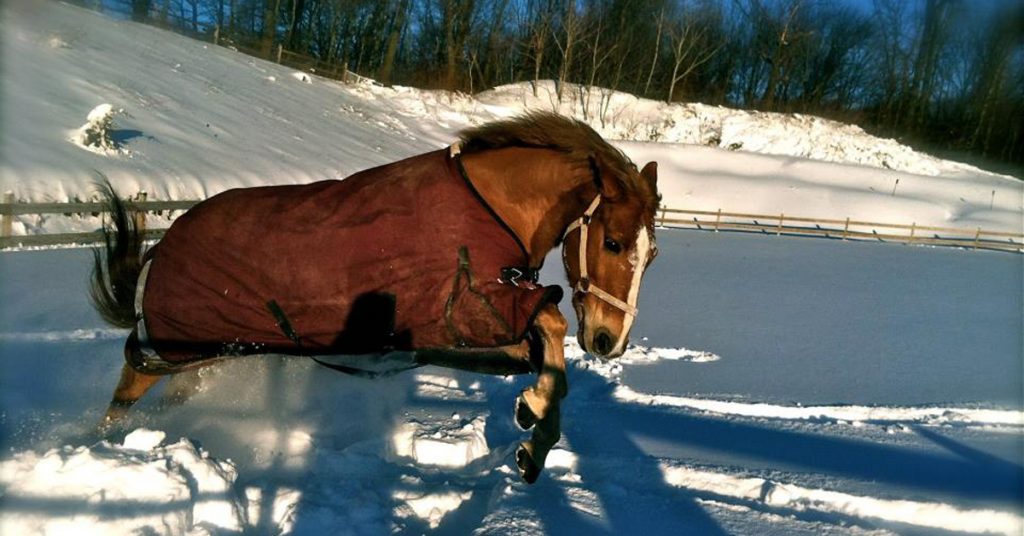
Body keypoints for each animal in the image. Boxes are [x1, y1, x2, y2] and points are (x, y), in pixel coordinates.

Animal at [92, 112, 659, 481]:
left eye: (651, 253)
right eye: (612, 242)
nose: (610, 340)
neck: (489, 207)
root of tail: (162, 247)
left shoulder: (480, 337)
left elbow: (549, 360)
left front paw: (532, 439)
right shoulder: (467, 309)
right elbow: (553, 325)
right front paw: (532, 419)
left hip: (205, 359)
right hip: (166, 351)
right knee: (119, 402)